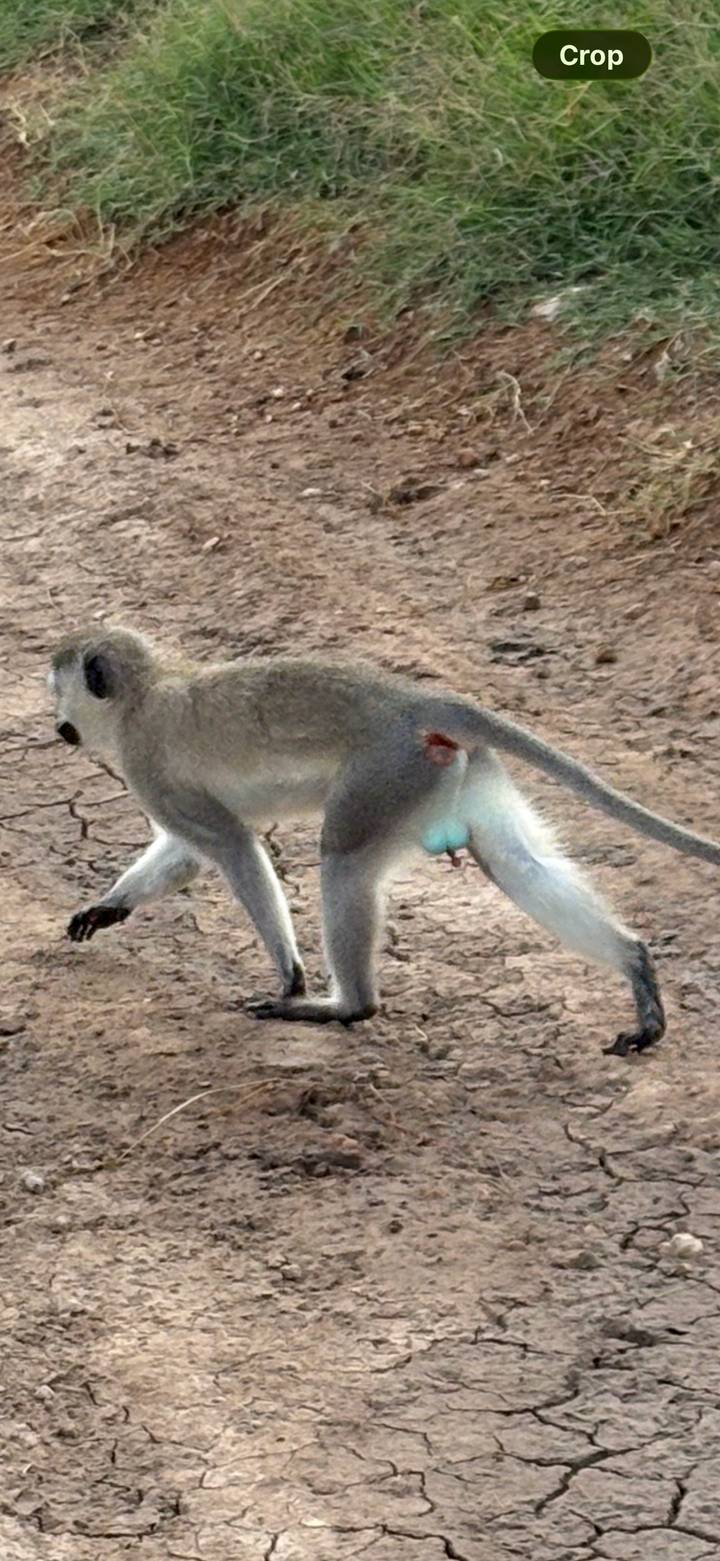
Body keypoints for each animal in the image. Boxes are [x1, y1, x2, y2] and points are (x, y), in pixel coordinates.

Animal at [47, 624, 720, 1056]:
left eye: (60, 690)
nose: (59, 727)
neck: (146, 691)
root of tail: (413, 700)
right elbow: (187, 854)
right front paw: (108, 907)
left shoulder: (147, 766)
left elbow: (230, 845)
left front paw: (291, 979)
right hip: (453, 769)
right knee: (516, 863)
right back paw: (636, 967)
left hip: (384, 776)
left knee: (343, 861)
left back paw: (345, 1006)